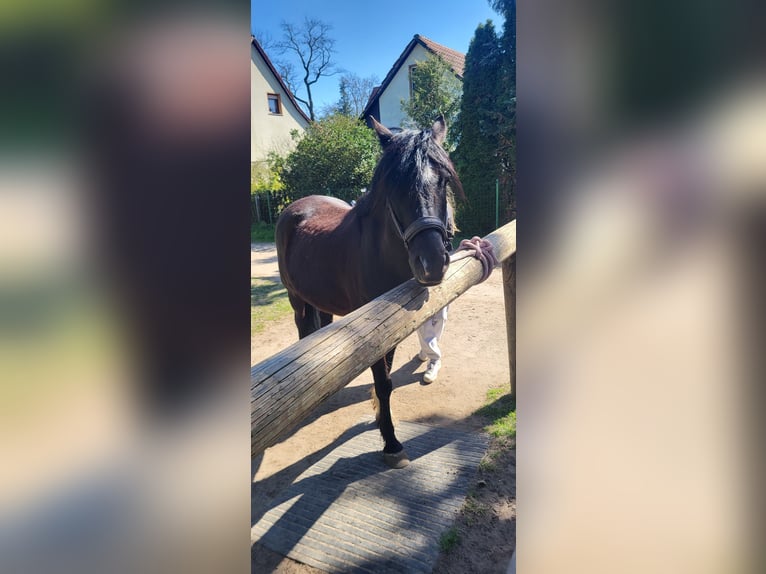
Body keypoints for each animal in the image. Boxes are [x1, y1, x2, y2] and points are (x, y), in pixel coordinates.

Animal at [275, 115, 462, 468]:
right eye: (394, 185)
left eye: (444, 180)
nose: (432, 263)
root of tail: (294, 207)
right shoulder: (374, 332)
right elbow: (384, 383)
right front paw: (391, 444)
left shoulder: (392, 328)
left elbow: (385, 380)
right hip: (297, 299)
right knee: (303, 330)